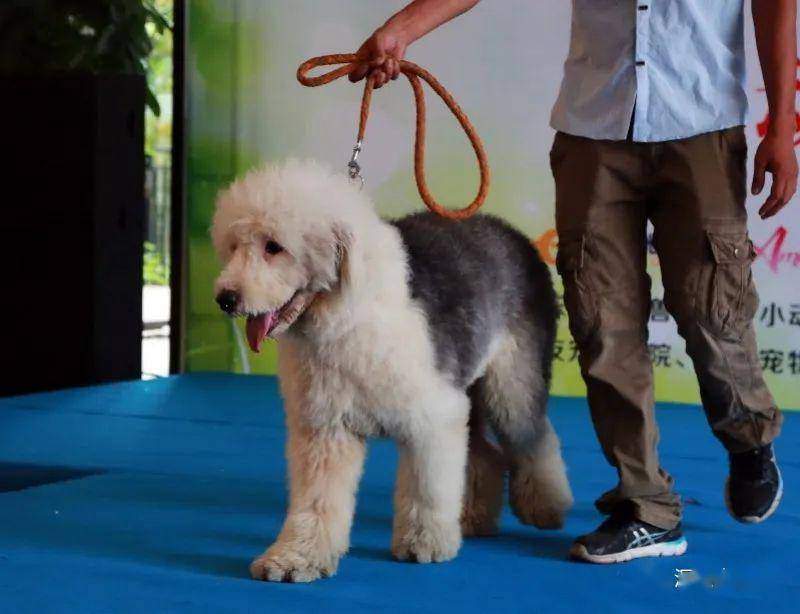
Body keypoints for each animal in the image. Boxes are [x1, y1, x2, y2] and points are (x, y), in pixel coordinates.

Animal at [212, 159, 572, 584]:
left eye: (274, 246)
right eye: (234, 246)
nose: (226, 298)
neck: (346, 312)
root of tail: (510, 232)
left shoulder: (433, 417)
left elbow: (428, 486)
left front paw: (424, 544)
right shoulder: (326, 430)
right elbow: (316, 501)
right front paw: (296, 558)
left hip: (511, 384)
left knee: (535, 439)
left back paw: (546, 507)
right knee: (485, 455)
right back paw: (472, 517)